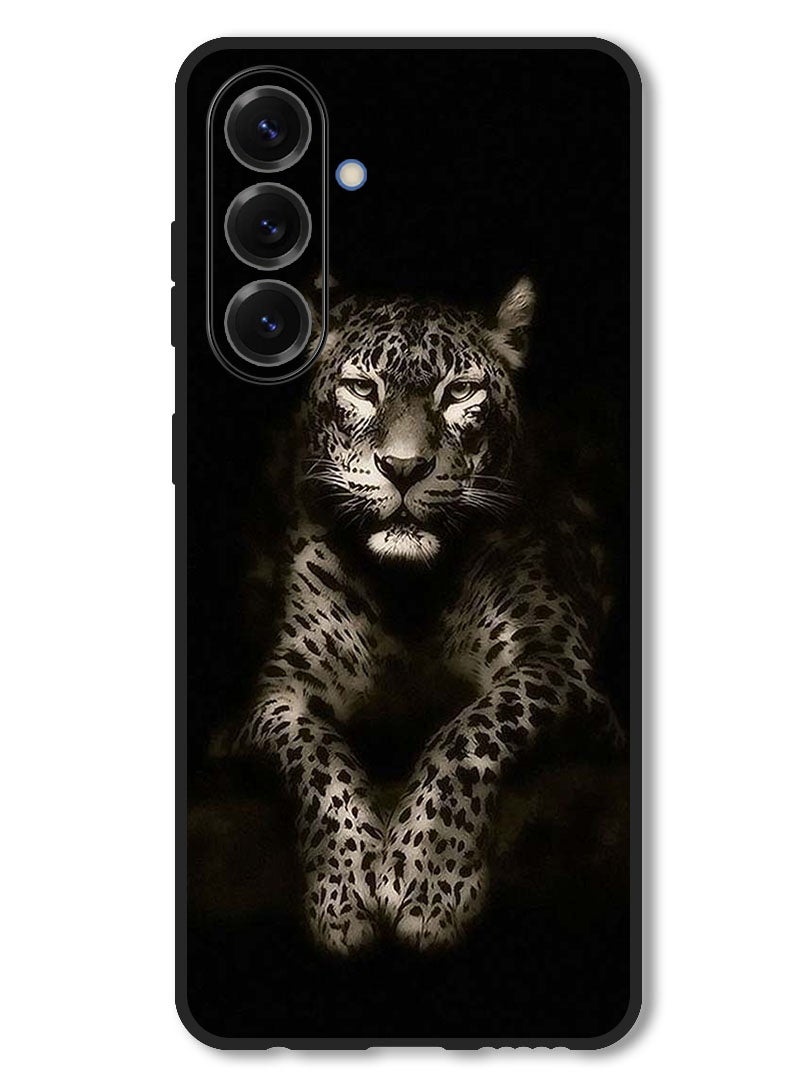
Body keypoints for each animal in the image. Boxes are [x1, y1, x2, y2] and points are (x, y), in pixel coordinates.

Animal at [234, 278, 624, 954]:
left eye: (460, 391)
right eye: (364, 388)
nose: (404, 468)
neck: (409, 593)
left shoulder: (558, 663)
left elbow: (468, 732)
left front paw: (427, 882)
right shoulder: (279, 693)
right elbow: (318, 759)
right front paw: (344, 892)